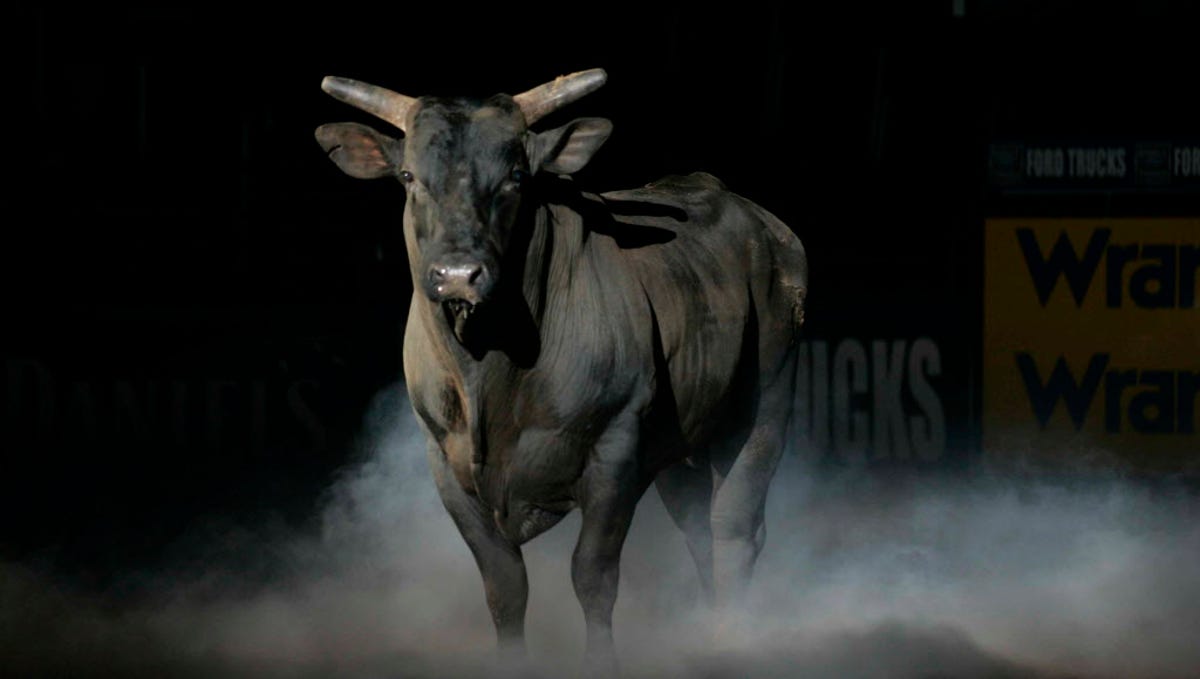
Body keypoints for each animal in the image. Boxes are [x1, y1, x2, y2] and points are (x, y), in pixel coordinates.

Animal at [315, 68, 807, 674]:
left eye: (515, 176)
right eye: (408, 175)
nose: (457, 274)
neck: (489, 374)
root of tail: (765, 224)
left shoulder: (614, 448)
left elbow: (592, 575)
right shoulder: (443, 461)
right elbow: (505, 586)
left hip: (767, 398)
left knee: (734, 527)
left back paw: (729, 638)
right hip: (683, 442)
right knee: (698, 530)